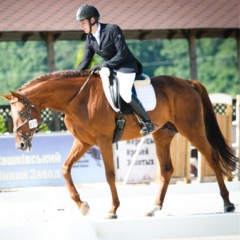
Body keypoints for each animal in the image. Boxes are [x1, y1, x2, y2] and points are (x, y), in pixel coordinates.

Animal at [0, 69, 239, 218]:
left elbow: (109, 175)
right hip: (163, 134)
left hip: (192, 129)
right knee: (167, 170)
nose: (21, 146)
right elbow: (65, 168)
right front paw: (82, 205)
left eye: (22, 112)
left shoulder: (104, 141)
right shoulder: (83, 142)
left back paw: (227, 203)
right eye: (12, 114)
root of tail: (187, 83)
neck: (78, 98)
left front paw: (113, 210)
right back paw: (154, 208)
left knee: (212, 158)